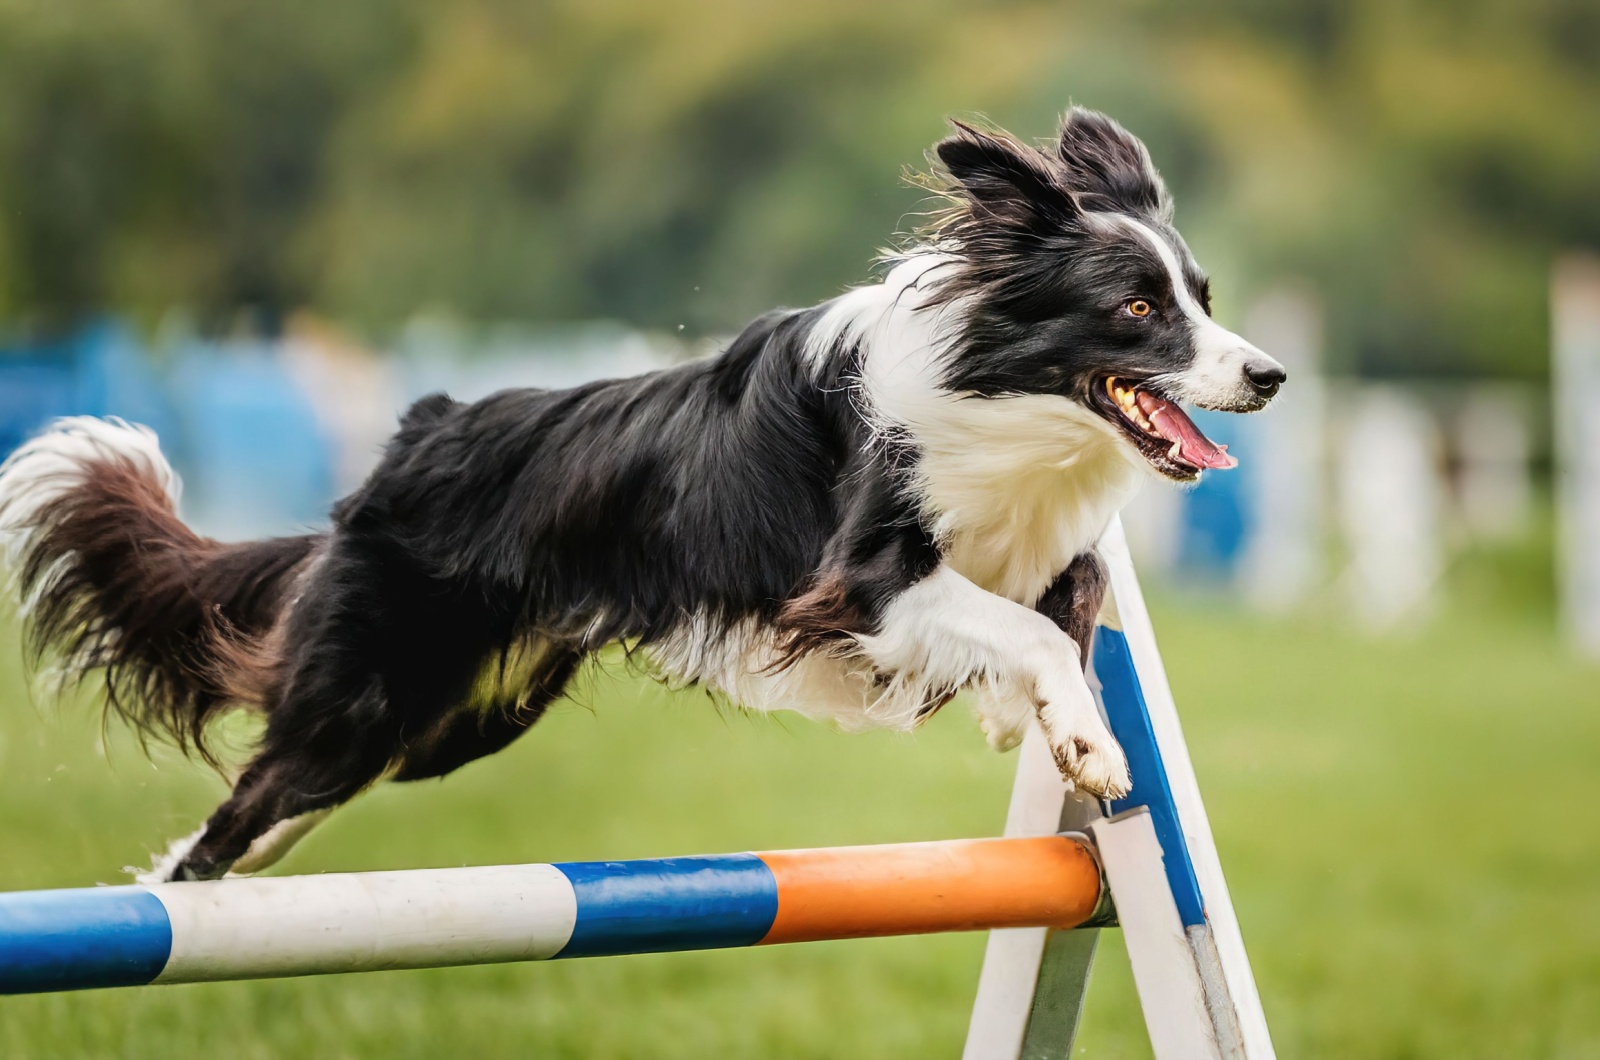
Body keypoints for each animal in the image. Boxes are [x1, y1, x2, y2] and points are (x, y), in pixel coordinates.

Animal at [0, 109, 1280, 890]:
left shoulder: (1028, 547)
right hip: (365, 701)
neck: (1007, 397)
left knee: (253, 823)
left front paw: (1033, 723)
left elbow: (1076, 592)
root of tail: (410, 442)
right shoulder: (863, 578)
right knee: (230, 825)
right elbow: (1026, 627)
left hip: (449, 723)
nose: (1267, 374)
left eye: (1203, 297)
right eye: (1135, 309)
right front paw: (1087, 745)